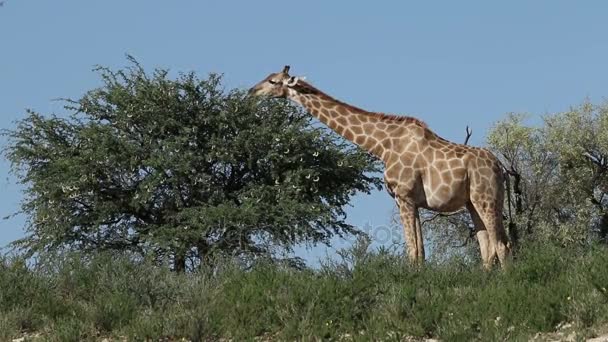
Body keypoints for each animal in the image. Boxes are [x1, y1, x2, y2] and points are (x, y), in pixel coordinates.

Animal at [247, 65, 508, 268]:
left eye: (273, 81)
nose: (250, 92)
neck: (382, 146)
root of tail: (501, 169)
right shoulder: (407, 200)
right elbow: (420, 252)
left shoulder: (404, 196)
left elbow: (413, 251)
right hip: (473, 202)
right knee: (488, 248)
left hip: (486, 199)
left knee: (501, 246)